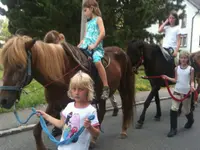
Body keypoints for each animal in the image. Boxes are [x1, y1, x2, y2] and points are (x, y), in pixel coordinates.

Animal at [0, 35, 136, 150]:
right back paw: (93, 140)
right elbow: (37, 130)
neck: (62, 74)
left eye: (19, 65)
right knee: (101, 112)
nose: (4, 100)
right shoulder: (54, 105)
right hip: (101, 96)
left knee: (126, 106)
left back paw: (123, 131)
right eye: (5, 65)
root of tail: (121, 51)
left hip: (124, 87)